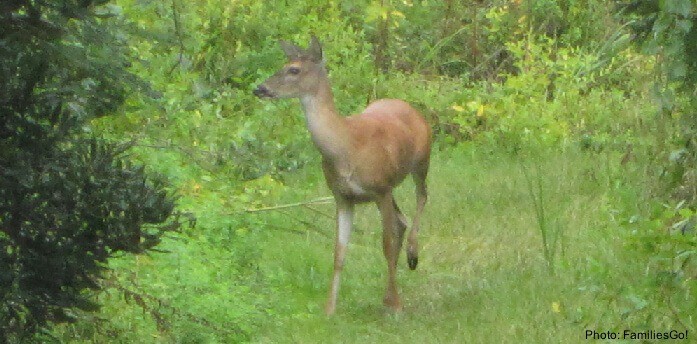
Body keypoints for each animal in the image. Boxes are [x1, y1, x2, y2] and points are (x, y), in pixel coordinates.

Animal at [253, 35, 430, 314]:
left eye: (294, 70)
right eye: (284, 65)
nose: (259, 88)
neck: (346, 146)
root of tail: (409, 106)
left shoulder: (380, 189)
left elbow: (386, 244)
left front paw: (397, 305)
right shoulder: (343, 196)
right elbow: (339, 252)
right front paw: (329, 310)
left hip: (421, 160)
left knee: (421, 197)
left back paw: (412, 256)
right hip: (390, 184)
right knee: (401, 220)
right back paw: (388, 291)